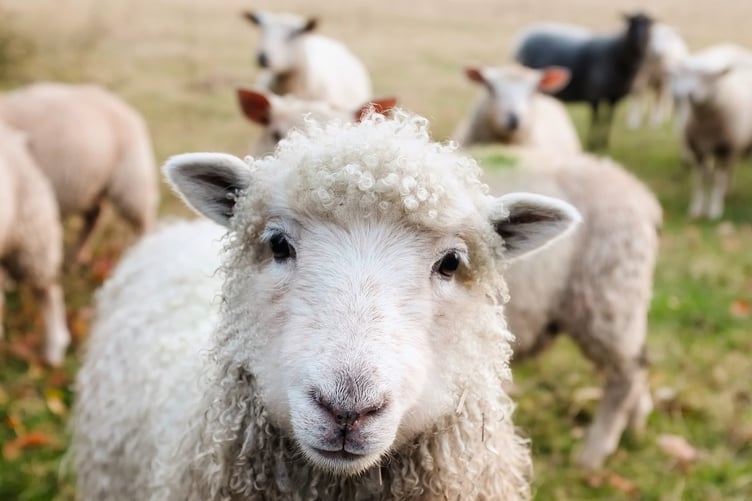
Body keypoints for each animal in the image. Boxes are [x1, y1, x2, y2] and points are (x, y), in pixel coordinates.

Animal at [479, 147, 662, 469]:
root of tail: (643, 196)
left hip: (608, 297)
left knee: (627, 374)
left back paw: (594, 454)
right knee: (638, 363)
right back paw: (637, 422)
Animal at [515, 13, 654, 150]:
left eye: (649, 25)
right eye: (632, 23)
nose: (640, 42)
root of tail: (524, 34)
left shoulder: (614, 97)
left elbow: (608, 119)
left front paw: (604, 143)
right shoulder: (594, 95)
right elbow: (596, 119)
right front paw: (593, 143)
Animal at [670, 44, 752, 219]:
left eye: (709, 78)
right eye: (688, 75)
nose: (689, 94)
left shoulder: (725, 148)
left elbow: (717, 180)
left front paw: (715, 210)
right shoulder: (698, 149)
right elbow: (700, 180)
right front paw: (696, 209)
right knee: (729, 168)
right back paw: (728, 191)